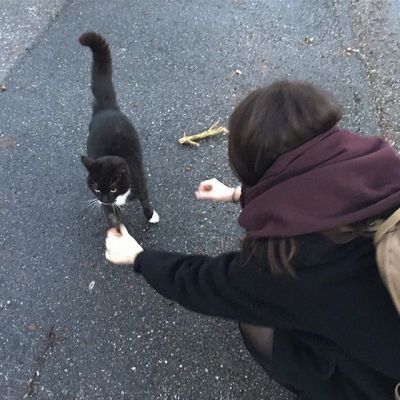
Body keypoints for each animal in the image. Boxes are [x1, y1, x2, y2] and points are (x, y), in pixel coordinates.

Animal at [79, 31, 159, 228]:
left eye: (113, 188)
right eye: (96, 187)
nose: (105, 198)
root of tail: (106, 108)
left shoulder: (140, 182)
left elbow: (145, 199)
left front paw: (151, 215)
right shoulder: (107, 206)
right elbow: (113, 218)